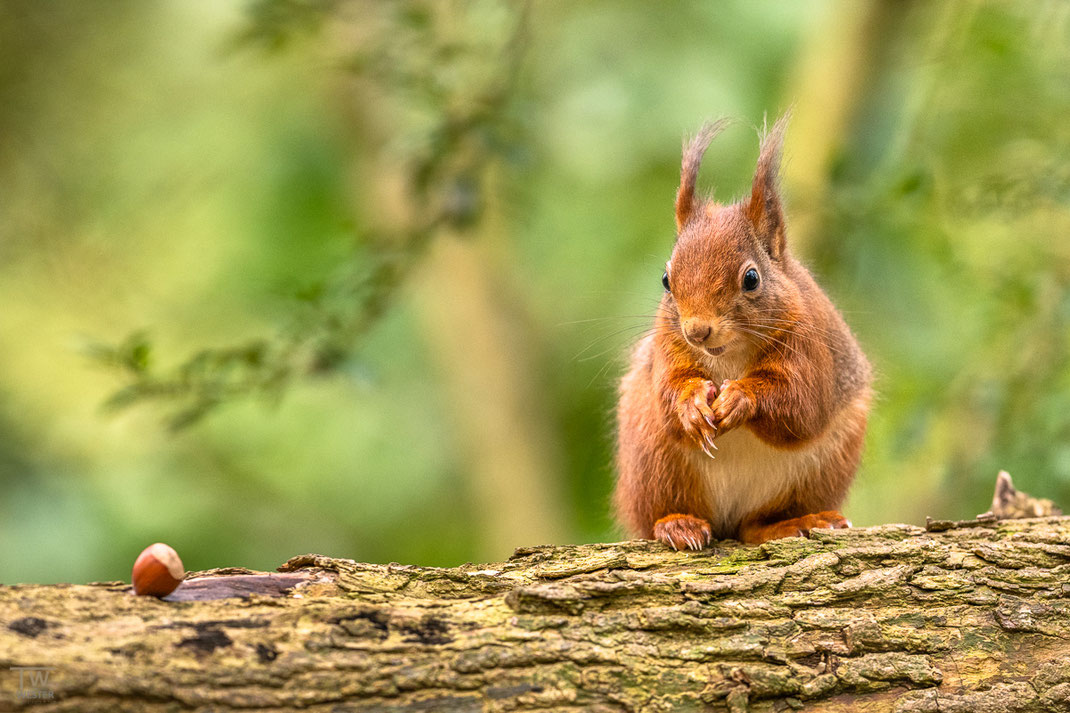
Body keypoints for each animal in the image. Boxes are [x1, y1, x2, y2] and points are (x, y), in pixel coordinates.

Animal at [616, 115, 873, 548]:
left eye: (751, 278)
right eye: (666, 279)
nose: (697, 331)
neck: (729, 357)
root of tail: (727, 520)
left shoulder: (808, 343)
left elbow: (803, 403)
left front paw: (740, 398)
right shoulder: (669, 347)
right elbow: (670, 390)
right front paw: (691, 404)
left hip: (818, 471)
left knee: (754, 526)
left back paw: (796, 523)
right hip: (652, 459)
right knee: (657, 514)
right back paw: (677, 525)